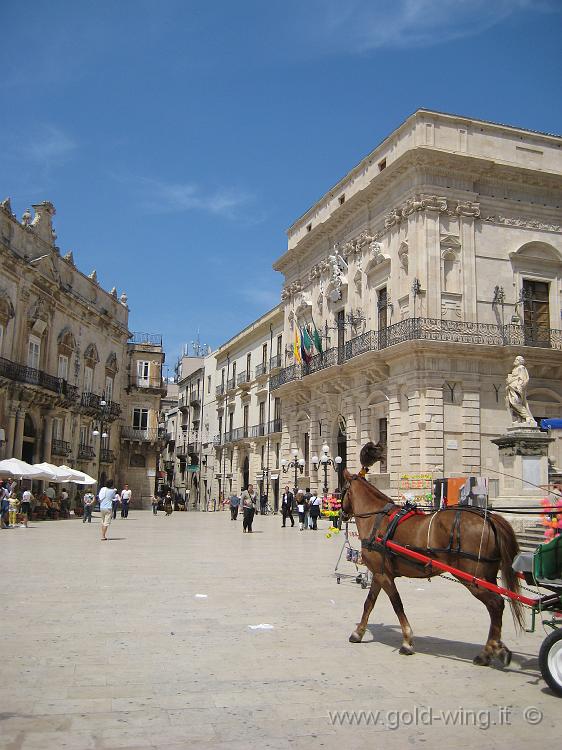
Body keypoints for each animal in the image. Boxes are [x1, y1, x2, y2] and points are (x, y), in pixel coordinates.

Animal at [340, 444, 524, 668]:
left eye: (342, 490)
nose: (340, 513)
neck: (376, 518)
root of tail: (489, 518)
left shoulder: (383, 575)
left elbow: (397, 604)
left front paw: (407, 641)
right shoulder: (379, 573)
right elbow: (369, 603)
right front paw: (358, 633)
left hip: (473, 578)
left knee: (496, 604)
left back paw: (487, 652)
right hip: (487, 576)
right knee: (497, 606)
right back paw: (496, 648)